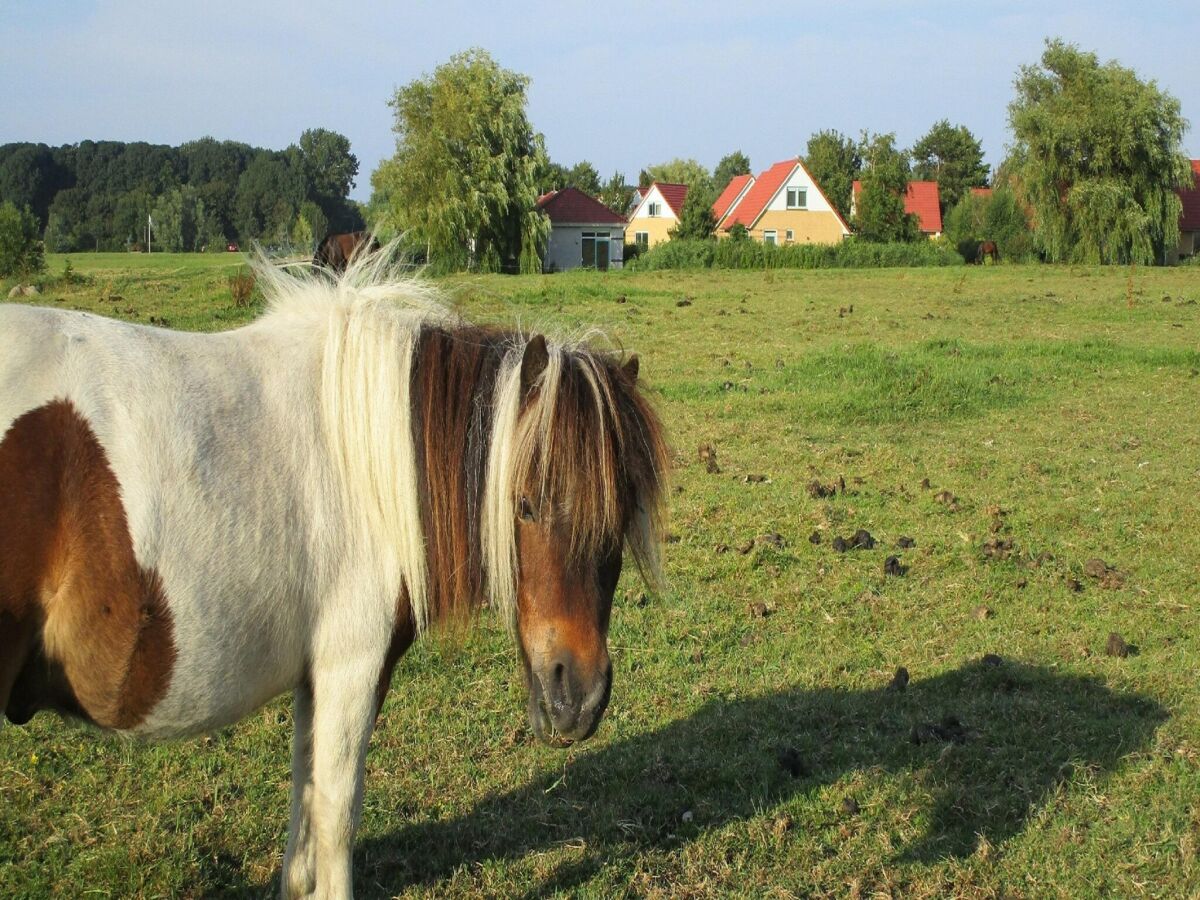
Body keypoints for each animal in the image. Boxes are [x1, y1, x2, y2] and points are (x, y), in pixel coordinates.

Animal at [0, 250, 672, 897]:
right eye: (525, 504)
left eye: (622, 513)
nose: (577, 700)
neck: (366, 462)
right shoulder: (351, 666)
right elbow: (335, 814)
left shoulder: (313, 675)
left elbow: (303, 813)